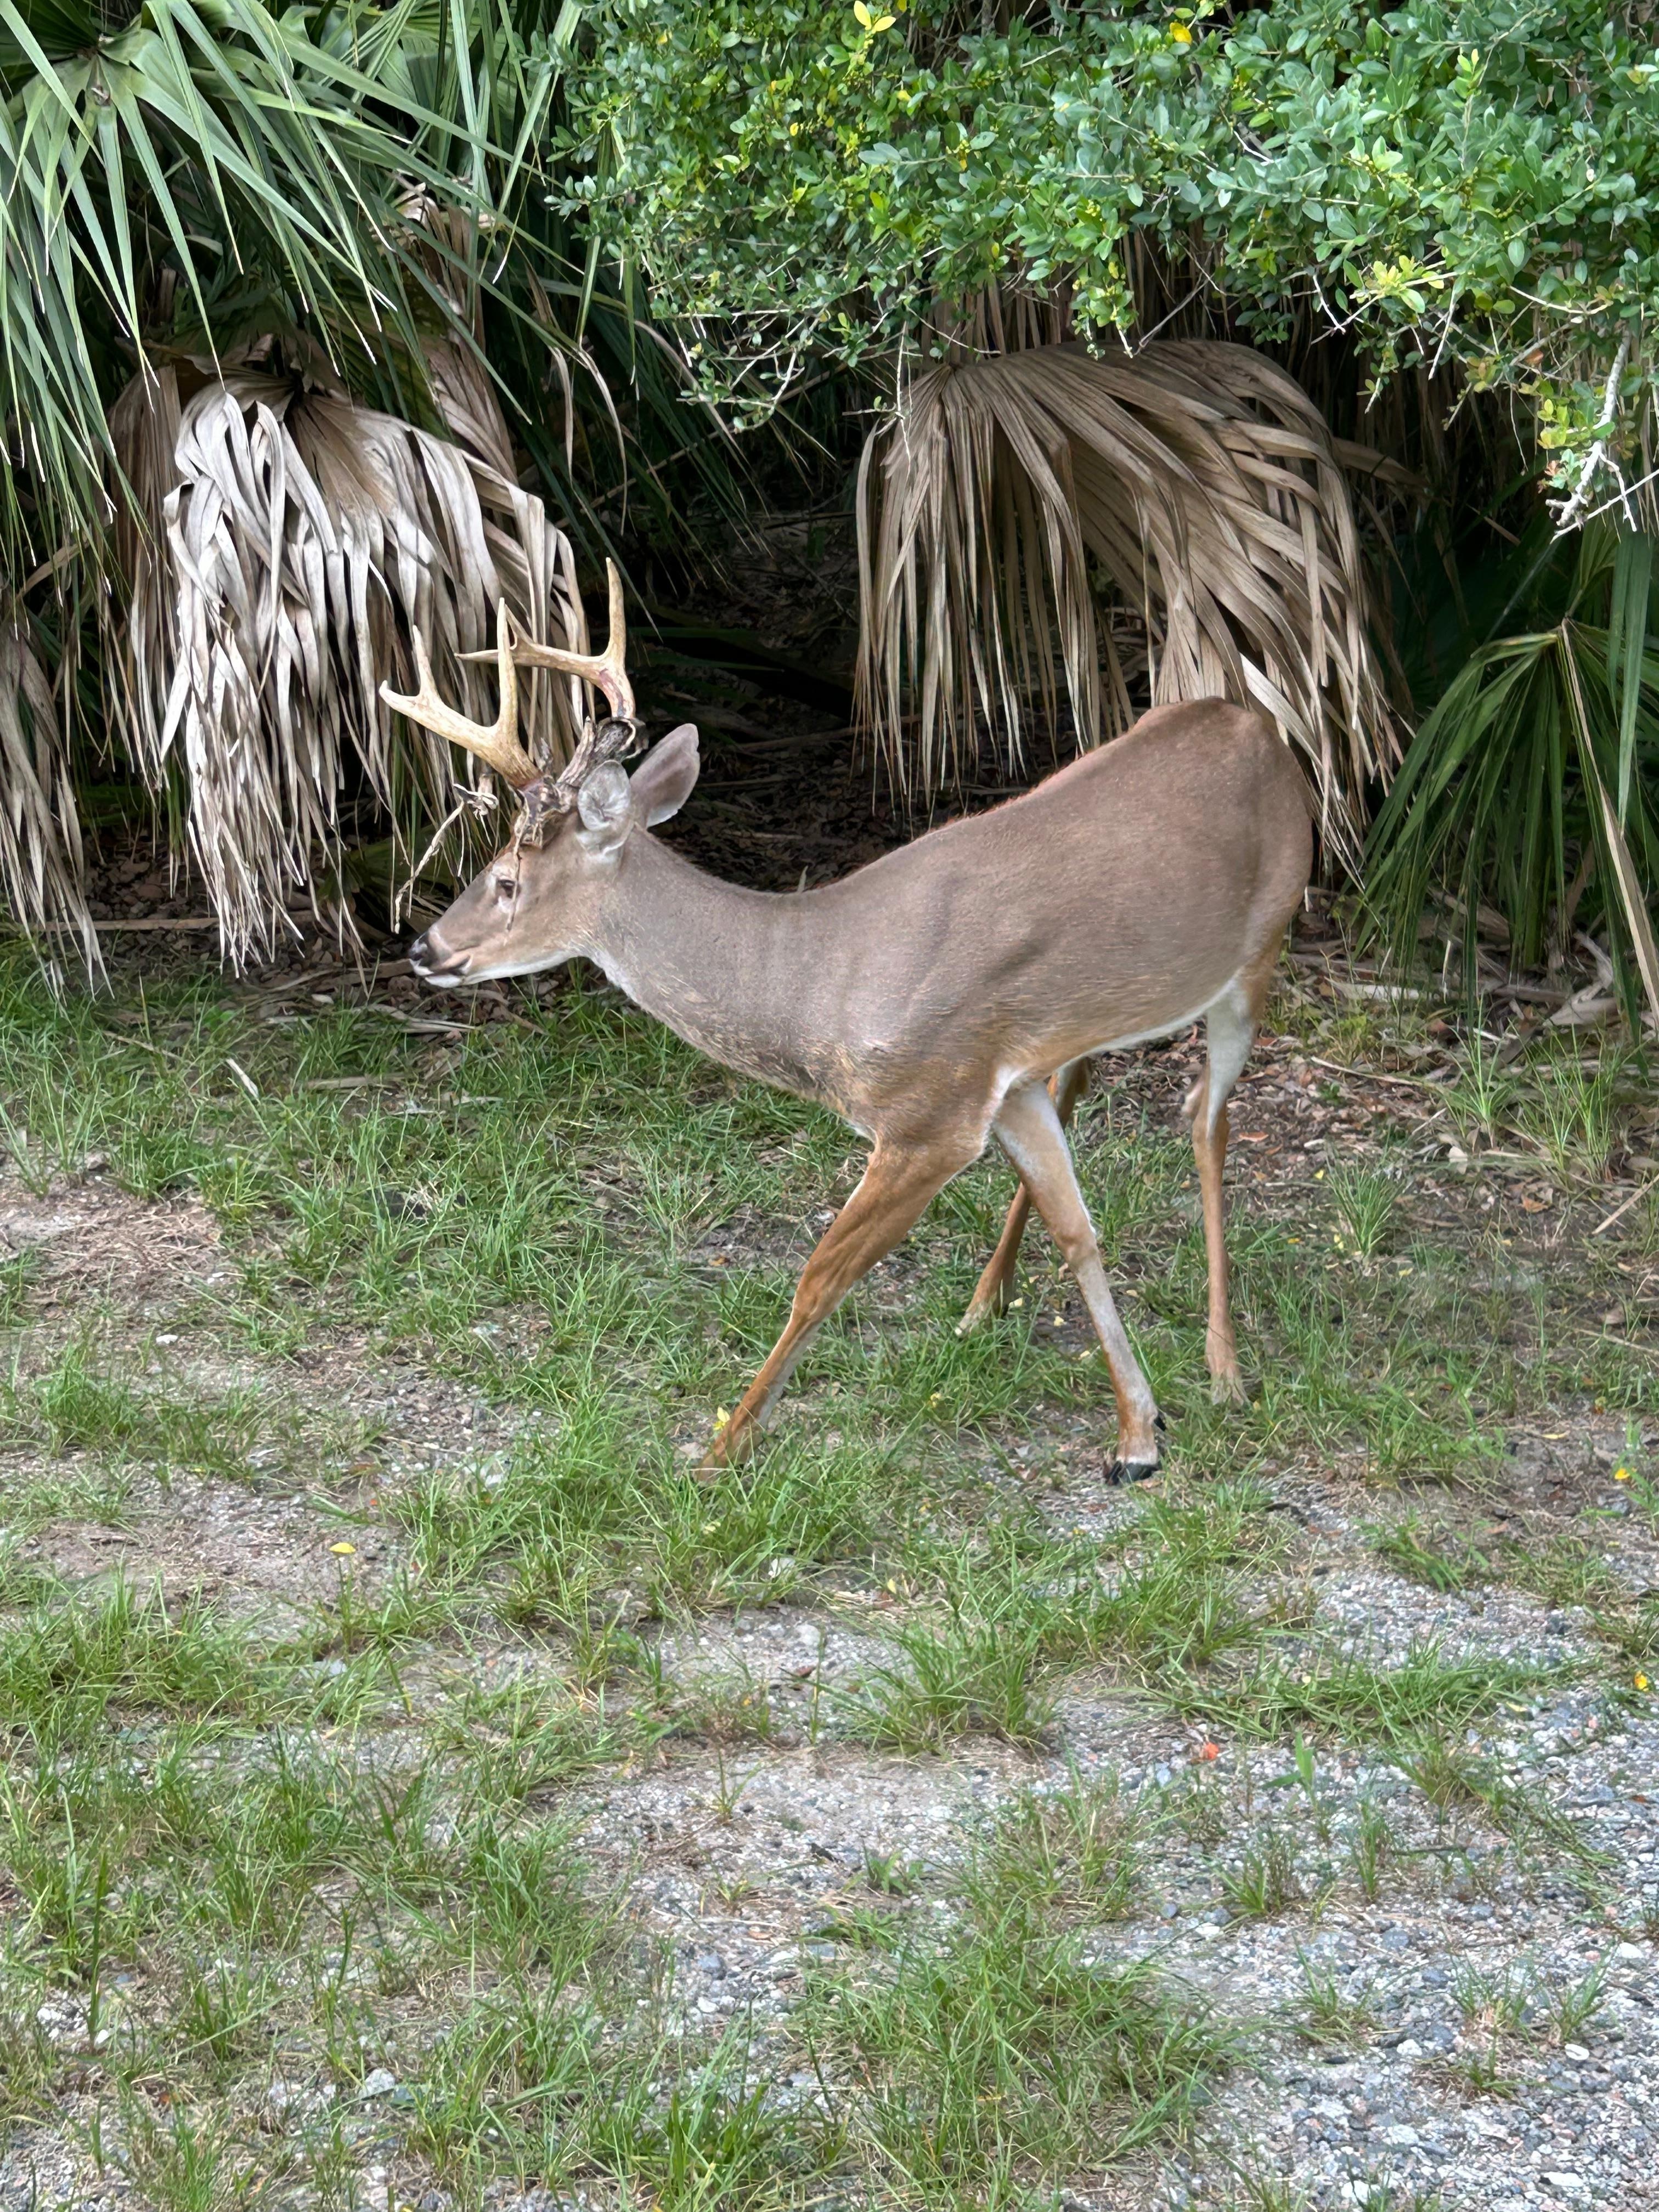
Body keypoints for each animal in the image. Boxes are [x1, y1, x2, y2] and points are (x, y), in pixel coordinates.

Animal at [383, 566, 1312, 1482]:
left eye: (507, 879)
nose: (425, 946)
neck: (816, 982)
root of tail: (1260, 726)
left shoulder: (926, 1118)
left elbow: (821, 1276)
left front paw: (723, 1446)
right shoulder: (994, 1086)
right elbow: (1077, 1227)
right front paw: (1137, 1433)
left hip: (1262, 946)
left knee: (1207, 1119)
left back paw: (1224, 1369)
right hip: (1103, 1008)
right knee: (1090, 1083)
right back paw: (991, 1304)